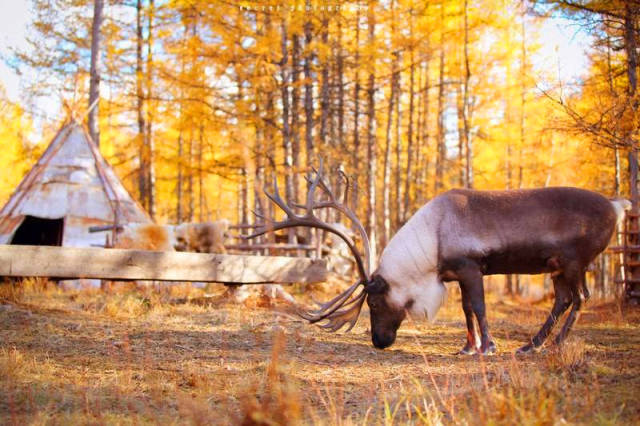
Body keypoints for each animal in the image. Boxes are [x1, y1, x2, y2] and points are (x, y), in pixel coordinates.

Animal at [247, 160, 630, 355]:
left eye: (373, 302)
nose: (379, 342)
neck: (430, 244)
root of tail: (617, 205)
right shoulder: (456, 274)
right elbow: (466, 310)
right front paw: (467, 347)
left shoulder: (472, 267)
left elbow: (479, 307)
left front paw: (488, 347)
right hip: (559, 267)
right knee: (566, 298)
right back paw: (533, 345)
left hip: (574, 262)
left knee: (578, 297)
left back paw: (550, 344)